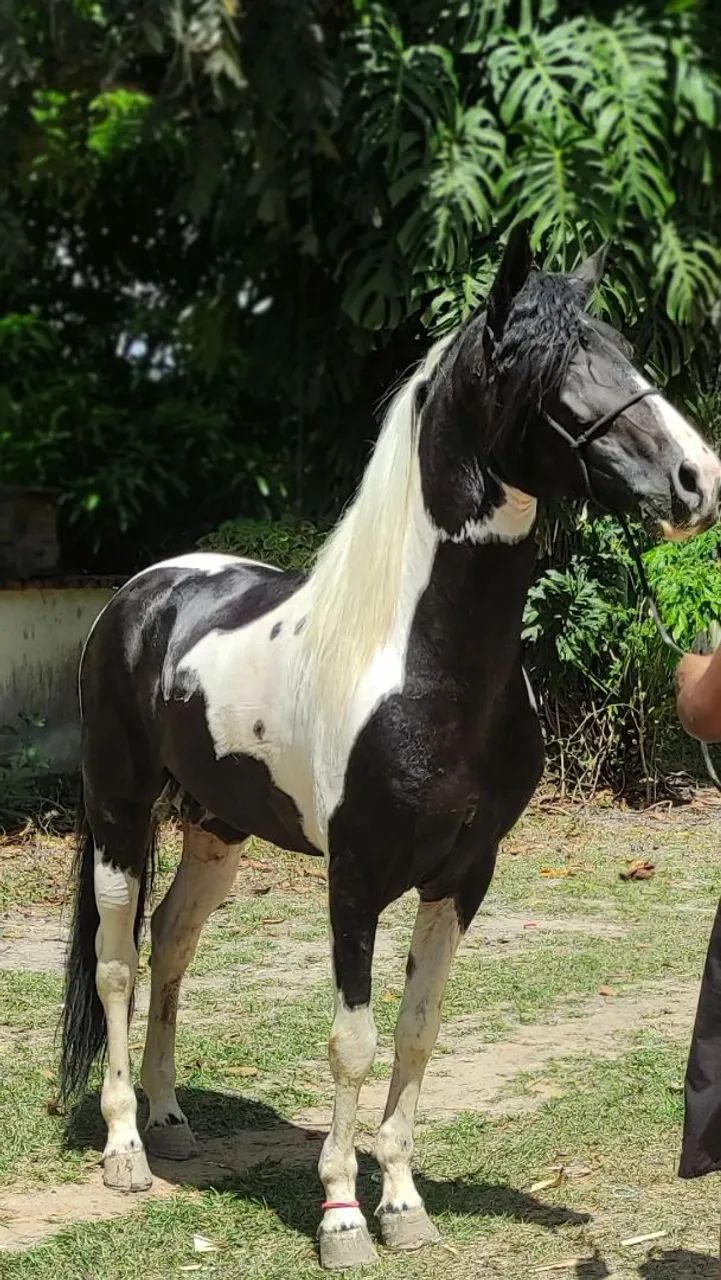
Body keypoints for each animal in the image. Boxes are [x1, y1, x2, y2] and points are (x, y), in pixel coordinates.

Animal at [60, 226, 721, 1270]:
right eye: (545, 371)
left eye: (621, 350)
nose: (698, 480)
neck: (415, 663)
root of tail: (146, 592)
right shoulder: (356, 876)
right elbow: (352, 1043)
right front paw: (340, 1216)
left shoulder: (463, 874)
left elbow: (415, 1035)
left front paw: (404, 1205)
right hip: (121, 812)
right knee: (118, 959)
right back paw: (126, 1147)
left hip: (216, 828)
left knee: (172, 946)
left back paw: (169, 1118)